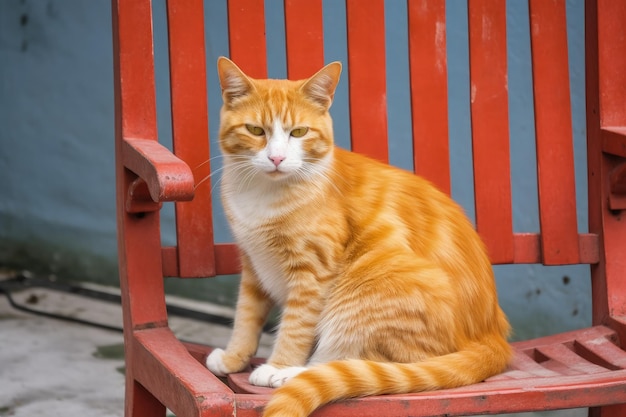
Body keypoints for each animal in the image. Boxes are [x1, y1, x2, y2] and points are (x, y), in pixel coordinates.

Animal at [207, 56, 510, 416]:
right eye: (255, 131)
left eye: (299, 132)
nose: (277, 158)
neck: (264, 195)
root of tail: (491, 334)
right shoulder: (253, 264)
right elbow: (246, 315)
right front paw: (234, 357)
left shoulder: (312, 273)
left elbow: (296, 326)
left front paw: (279, 365)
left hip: (372, 284)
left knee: (374, 362)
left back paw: (294, 373)